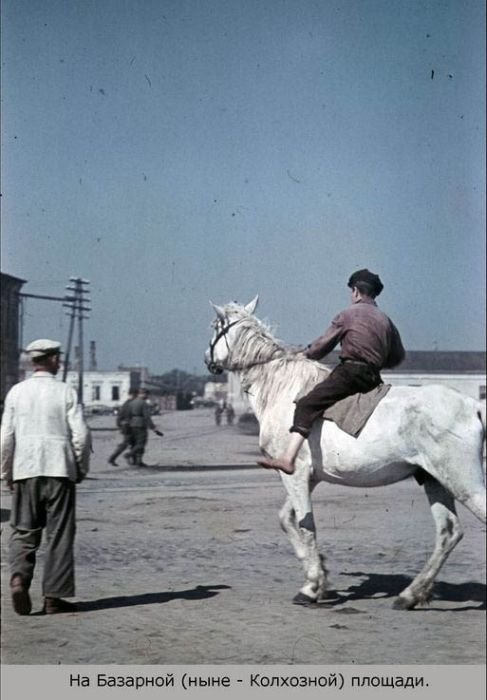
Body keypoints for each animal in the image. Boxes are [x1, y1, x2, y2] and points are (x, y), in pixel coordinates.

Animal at [204, 296, 486, 608]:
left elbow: (305, 524)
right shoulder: (309, 478)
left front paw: (311, 586)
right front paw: (321, 576)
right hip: (434, 480)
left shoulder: (294, 474)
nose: (207, 359)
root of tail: (473, 405)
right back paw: (410, 594)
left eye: (215, 326)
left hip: (463, 483)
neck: (282, 389)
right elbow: (286, 519)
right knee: (448, 532)